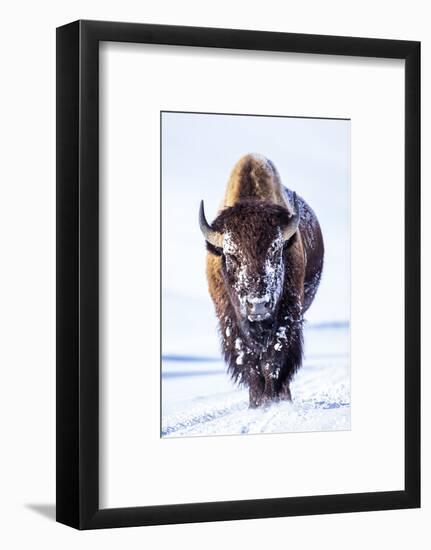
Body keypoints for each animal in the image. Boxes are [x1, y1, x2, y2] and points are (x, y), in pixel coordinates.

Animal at [199, 153, 324, 408]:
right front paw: (257, 402)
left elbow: (274, 358)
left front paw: (274, 400)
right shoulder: (230, 320)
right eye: (231, 255)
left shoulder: (288, 315)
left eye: (276, 252)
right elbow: (249, 362)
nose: (257, 305)